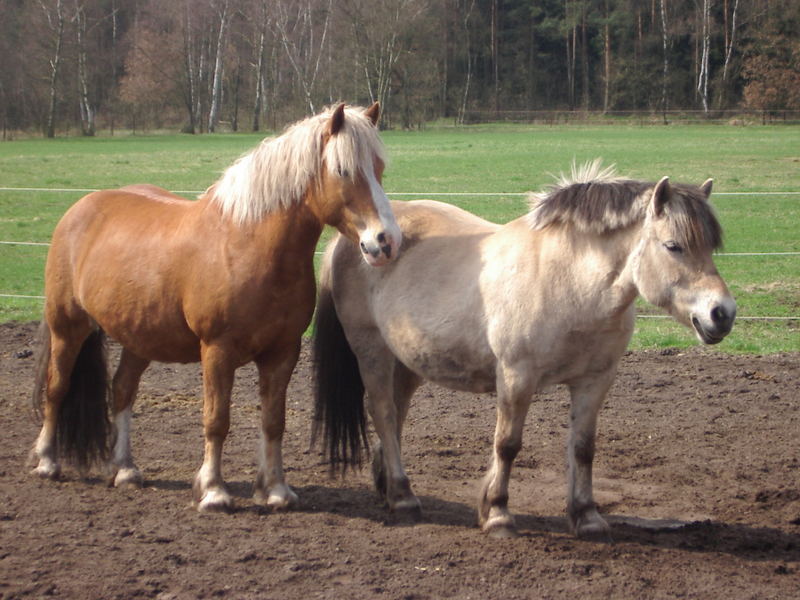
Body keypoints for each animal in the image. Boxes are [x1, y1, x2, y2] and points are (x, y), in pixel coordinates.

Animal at [30, 102, 400, 510]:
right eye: (343, 170)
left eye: (379, 168)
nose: (385, 242)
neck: (246, 246)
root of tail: (81, 208)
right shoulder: (217, 351)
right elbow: (216, 420)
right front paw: (213, 491)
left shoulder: (282, 353)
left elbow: (274, 421)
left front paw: (275, 490)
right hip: (67, 327)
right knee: (57, 386)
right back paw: (47, 462)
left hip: (139, 337)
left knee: (123, 389)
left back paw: (124, 469)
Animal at [312, 161, 736, 540]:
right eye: (673, 246)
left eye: (711, 247)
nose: (723, 313)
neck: (570, 282)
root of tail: (359, 237)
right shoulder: (517, 378)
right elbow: (507, 445)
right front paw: (498, 514)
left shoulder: (595, 380)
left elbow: (583, 447)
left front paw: (586, 516)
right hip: (372, 350)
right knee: (383, 412)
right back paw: (403, 498)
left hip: (408, 362)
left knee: (396, 416)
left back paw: (389, 487)